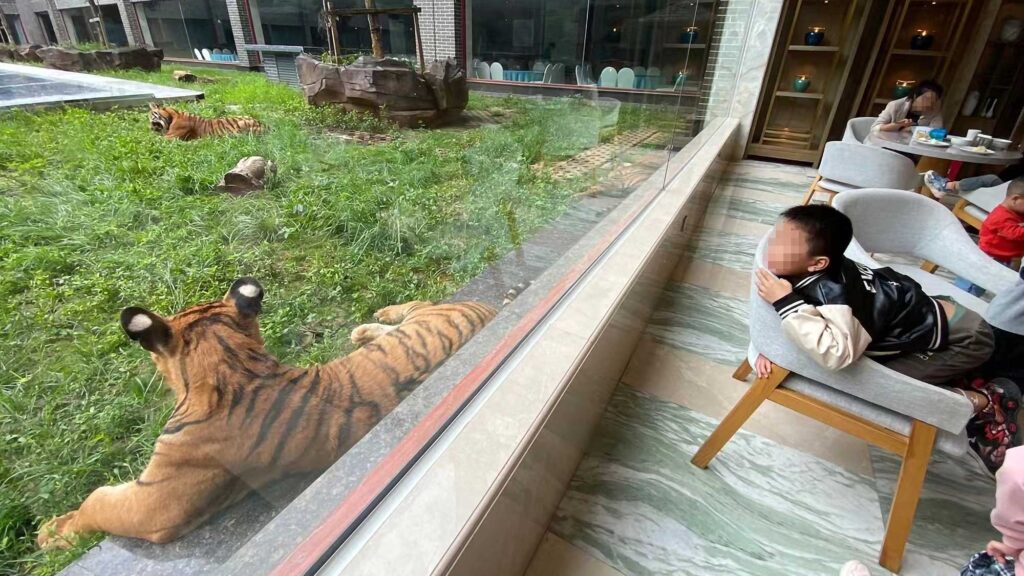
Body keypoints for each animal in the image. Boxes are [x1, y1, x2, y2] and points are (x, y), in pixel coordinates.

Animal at [37, 278, 496, 549]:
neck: (230, 362)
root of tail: (489, 309)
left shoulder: (157, 501)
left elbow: (97, 502)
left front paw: (51, 531)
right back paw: (366, 328)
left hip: (429, 314)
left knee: (420, 301)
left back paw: (376, 319)